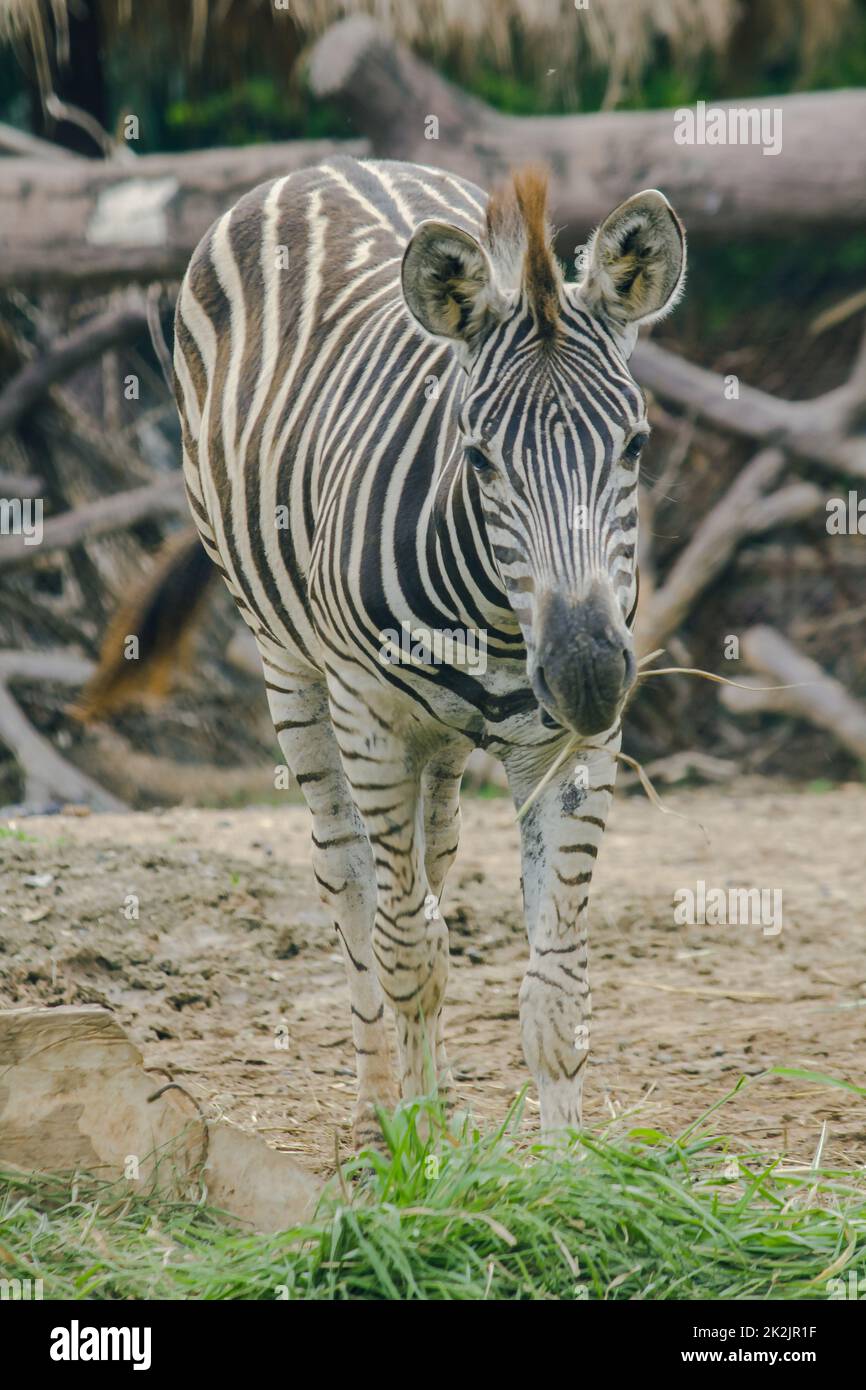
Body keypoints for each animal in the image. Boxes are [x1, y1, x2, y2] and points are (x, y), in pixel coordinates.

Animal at [88, 156, 685, 1145]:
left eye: (635, 446)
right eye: (478, 460)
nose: (588, 674)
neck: (498, 620)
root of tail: (328, 162)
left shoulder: (574, 749)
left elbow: (555, 990)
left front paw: (566, 1170)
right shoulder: (371, 721)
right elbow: (407, 949)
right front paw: (423, 1159)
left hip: (439, 742)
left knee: (431, 864)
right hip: (289, 665)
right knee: (351, 878)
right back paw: (380, 1109)